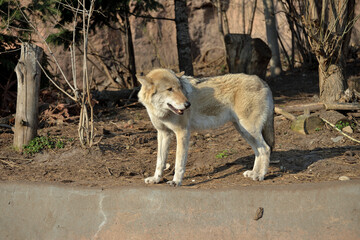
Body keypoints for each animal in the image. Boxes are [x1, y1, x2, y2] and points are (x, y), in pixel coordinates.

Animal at [136, 68, 274, 187]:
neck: (162, 112)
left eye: (180, 88)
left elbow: (179, 162)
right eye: (169, 89)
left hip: (250, 129)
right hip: (244, 131)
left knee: (266, 149)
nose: (188, 104)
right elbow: (160, 161)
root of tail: (262, 81)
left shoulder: (182, 133)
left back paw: (260, 175)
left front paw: (176, 181)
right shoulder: (163, 133)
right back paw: (253, 173)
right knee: (258, 151)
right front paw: (156, 179)